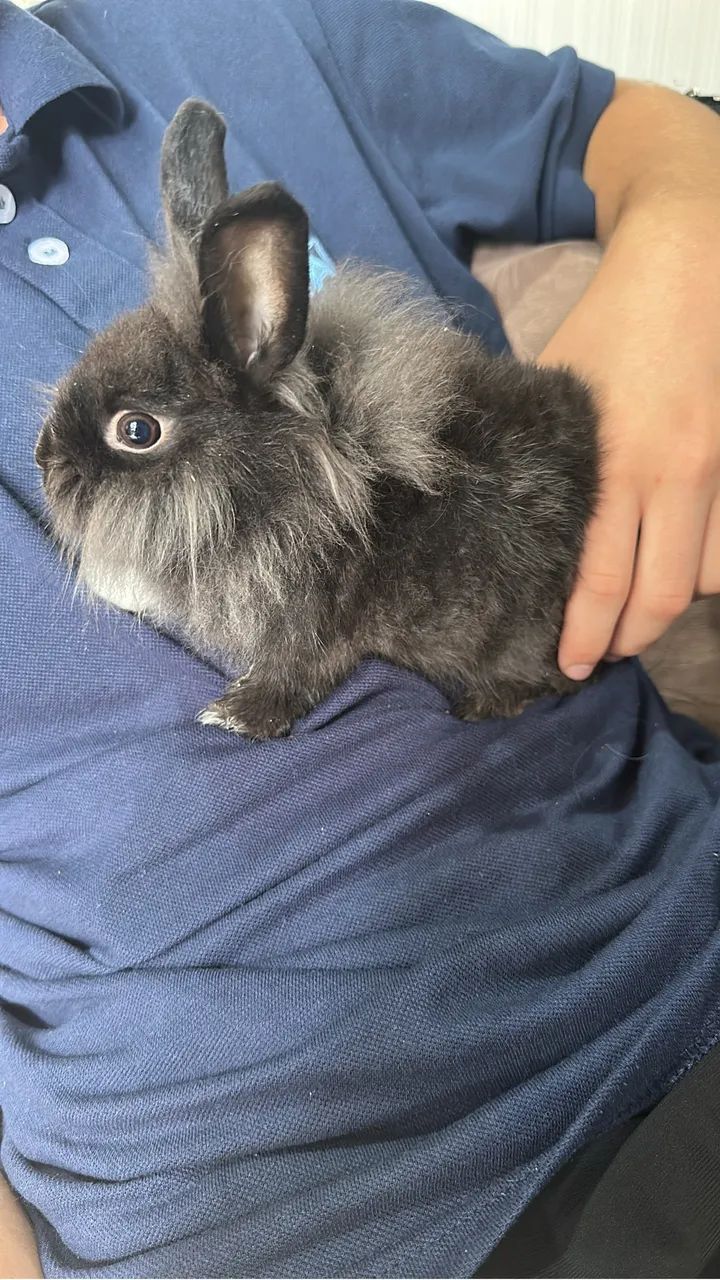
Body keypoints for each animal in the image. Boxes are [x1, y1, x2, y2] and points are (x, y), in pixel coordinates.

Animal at [35, 98, 599, 740]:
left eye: (137, 430)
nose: (43, 462)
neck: (277, 485)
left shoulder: (314, 627)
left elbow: (295, 676)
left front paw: (235, 716)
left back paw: (480, 704)